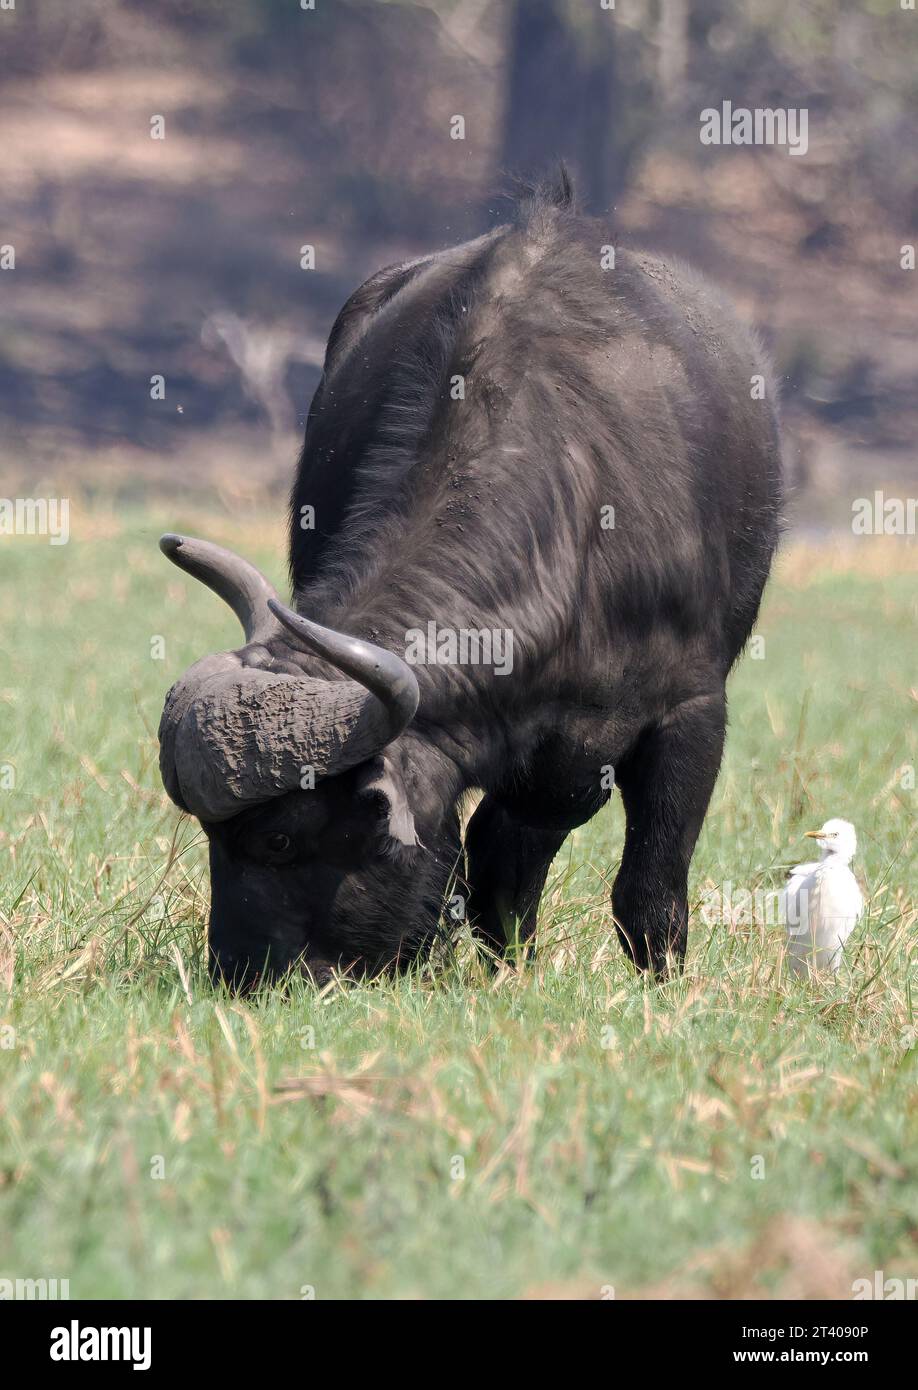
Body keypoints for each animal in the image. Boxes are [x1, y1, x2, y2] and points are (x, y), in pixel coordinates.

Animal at [157, 176, 784, 989]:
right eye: (210, 836)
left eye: (280, 839)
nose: (237, 975)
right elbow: (481, 866)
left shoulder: (690, 711)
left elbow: (648, 888)